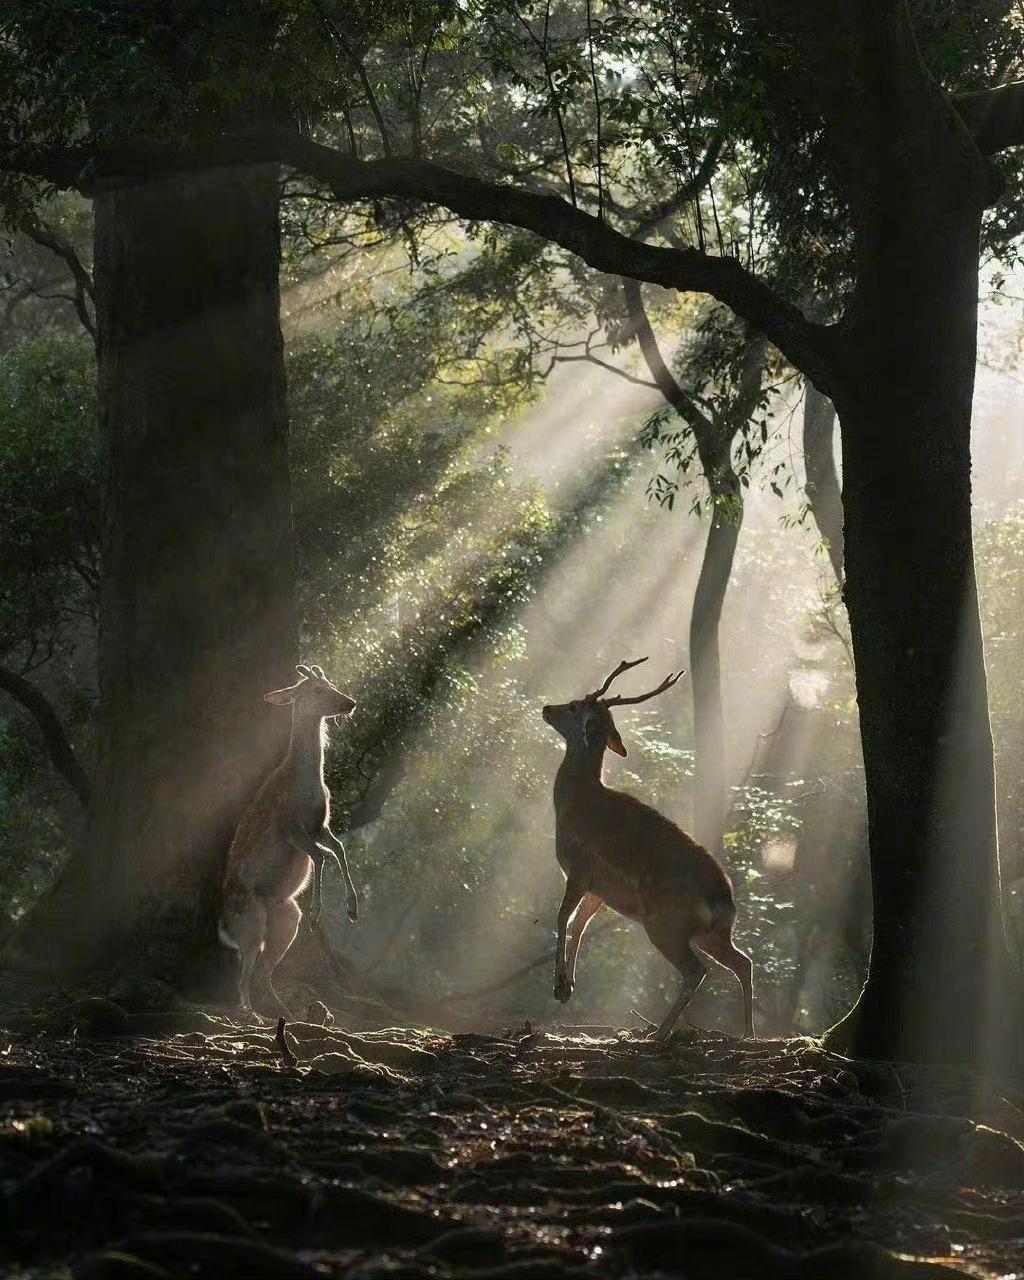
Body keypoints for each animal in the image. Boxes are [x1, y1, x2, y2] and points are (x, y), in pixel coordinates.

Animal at [219, 664, 359, 1017]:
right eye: (317, 690)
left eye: (330, 683)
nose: (349, 703)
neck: (306, 784)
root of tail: (224, 929)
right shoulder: (290, 827)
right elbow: (321, 856)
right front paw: (318, 913)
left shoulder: (319, 825)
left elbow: (339, 850)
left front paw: (353, 910)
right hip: (251, 921)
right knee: (243, 974)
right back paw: (251, 1013)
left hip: (284, 918)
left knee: (263, 971)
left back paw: (284, 1012)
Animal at [542, 657, 754, 1040]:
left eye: (575, 706)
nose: (547, 708)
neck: (574, 802)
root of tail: (724, 901)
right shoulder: (600, 888)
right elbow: (580, 924)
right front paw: (569, 986)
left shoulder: (578, 869)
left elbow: (563, 917)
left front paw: (559, 986)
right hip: (711, 933)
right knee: (742, 961)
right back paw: (748, 1033)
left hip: (665, 923)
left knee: (697, 970)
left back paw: (658, 1033)